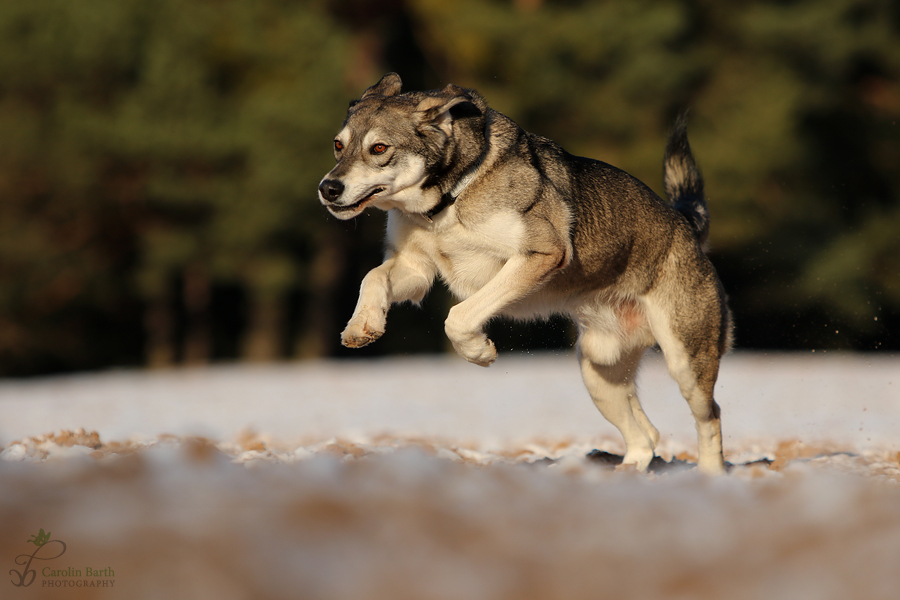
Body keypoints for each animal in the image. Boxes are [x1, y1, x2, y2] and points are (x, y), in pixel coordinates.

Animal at [316, 72, 732, 472]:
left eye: (379, 148)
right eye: (338, 145)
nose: (328, 188)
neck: (452, 195)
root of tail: (687, 224)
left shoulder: (538, 255)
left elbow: (459, 317)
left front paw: (480, 352)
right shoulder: (415, 268)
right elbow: (373, 277)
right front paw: (362, 326)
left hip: (685, 362)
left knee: (709, 417)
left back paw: (710, 477)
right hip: (598, 369)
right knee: (646, 437)